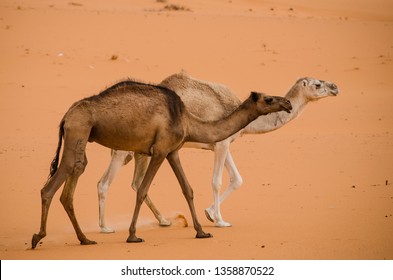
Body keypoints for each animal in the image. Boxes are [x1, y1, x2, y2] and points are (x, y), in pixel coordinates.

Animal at [31, 79, 290, 247]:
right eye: (268, 98)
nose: (287, 103)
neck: (187, 119)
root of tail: (66, 116)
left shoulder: (173, 151)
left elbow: (188, 189)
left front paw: (201, 232)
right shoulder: (159, 150)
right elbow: (142, 189)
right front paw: (133, 235)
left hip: (80, 136)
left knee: (73, 179)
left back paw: (85, 239)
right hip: (78, 130)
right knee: (52, 185)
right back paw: (38, 237)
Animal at [97, 72, 336, 232]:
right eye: (317, 84)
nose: (335, 87)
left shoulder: (223, 143)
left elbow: (237, 179)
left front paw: (210, 214)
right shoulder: (221, 144)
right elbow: (217, 181)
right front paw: (220, 220)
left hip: (139, 152)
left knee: (132, 182)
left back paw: (163, 220)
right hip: (124, 149)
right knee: (106, 183)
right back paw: (105, 227)